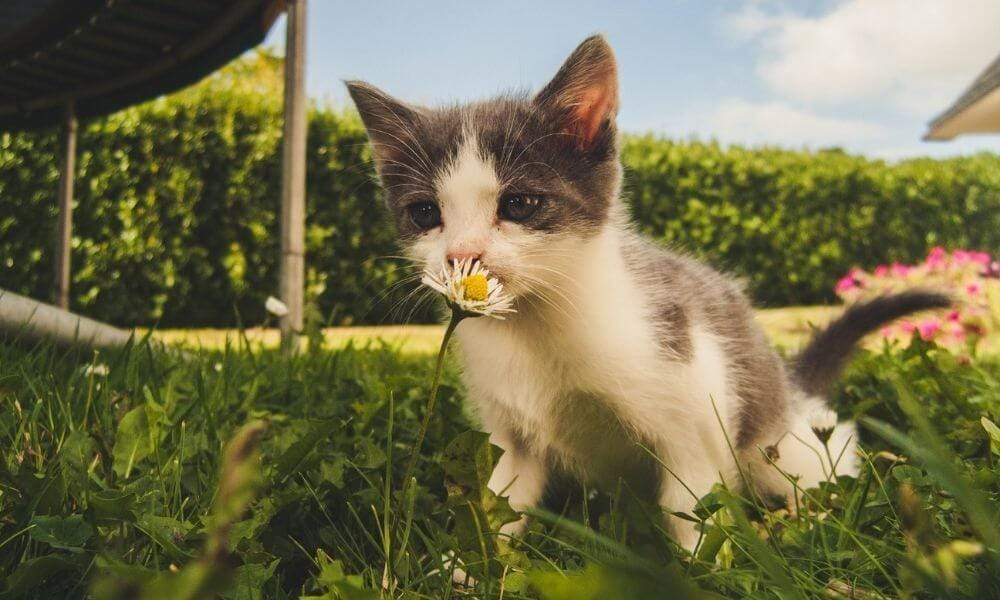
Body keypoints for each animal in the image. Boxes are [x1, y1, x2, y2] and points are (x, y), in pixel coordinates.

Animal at [348, 35, 948, 552]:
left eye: (519, 204)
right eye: (425, 213)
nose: (462, 255)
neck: (538, 325)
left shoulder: (694, 406)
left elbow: (690, 509)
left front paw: (702, 571)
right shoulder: (511, 435)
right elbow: (502, 502)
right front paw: (465, 569)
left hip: (779, 442)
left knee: (822, 457)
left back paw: (809, 518)